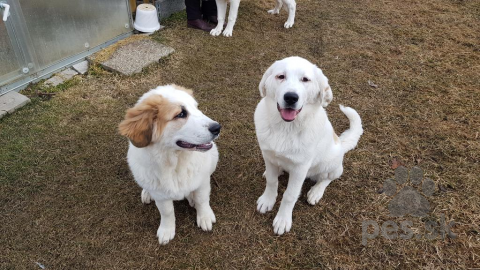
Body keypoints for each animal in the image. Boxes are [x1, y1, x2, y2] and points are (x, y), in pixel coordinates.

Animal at [119, 84, 220, 245]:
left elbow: (202, 199)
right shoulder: (161, 195)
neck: (175, 164)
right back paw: (147, 193)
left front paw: (204, 216)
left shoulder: (202, 181)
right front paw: (167, 230)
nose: (217, 127)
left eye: (197, 108)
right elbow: (167, 212)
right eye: (181, 114)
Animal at [255, 56, 364, 234]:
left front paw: (283, 219)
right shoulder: (268, 156)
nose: (291, 97)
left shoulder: (300, 168)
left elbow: (290, 195)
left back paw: (316, 192)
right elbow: (271, 181)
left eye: (305, 79)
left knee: (329, 178)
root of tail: (341, 144)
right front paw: (267, 200)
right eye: (280, 76)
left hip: (331, 164)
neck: (285, 128)